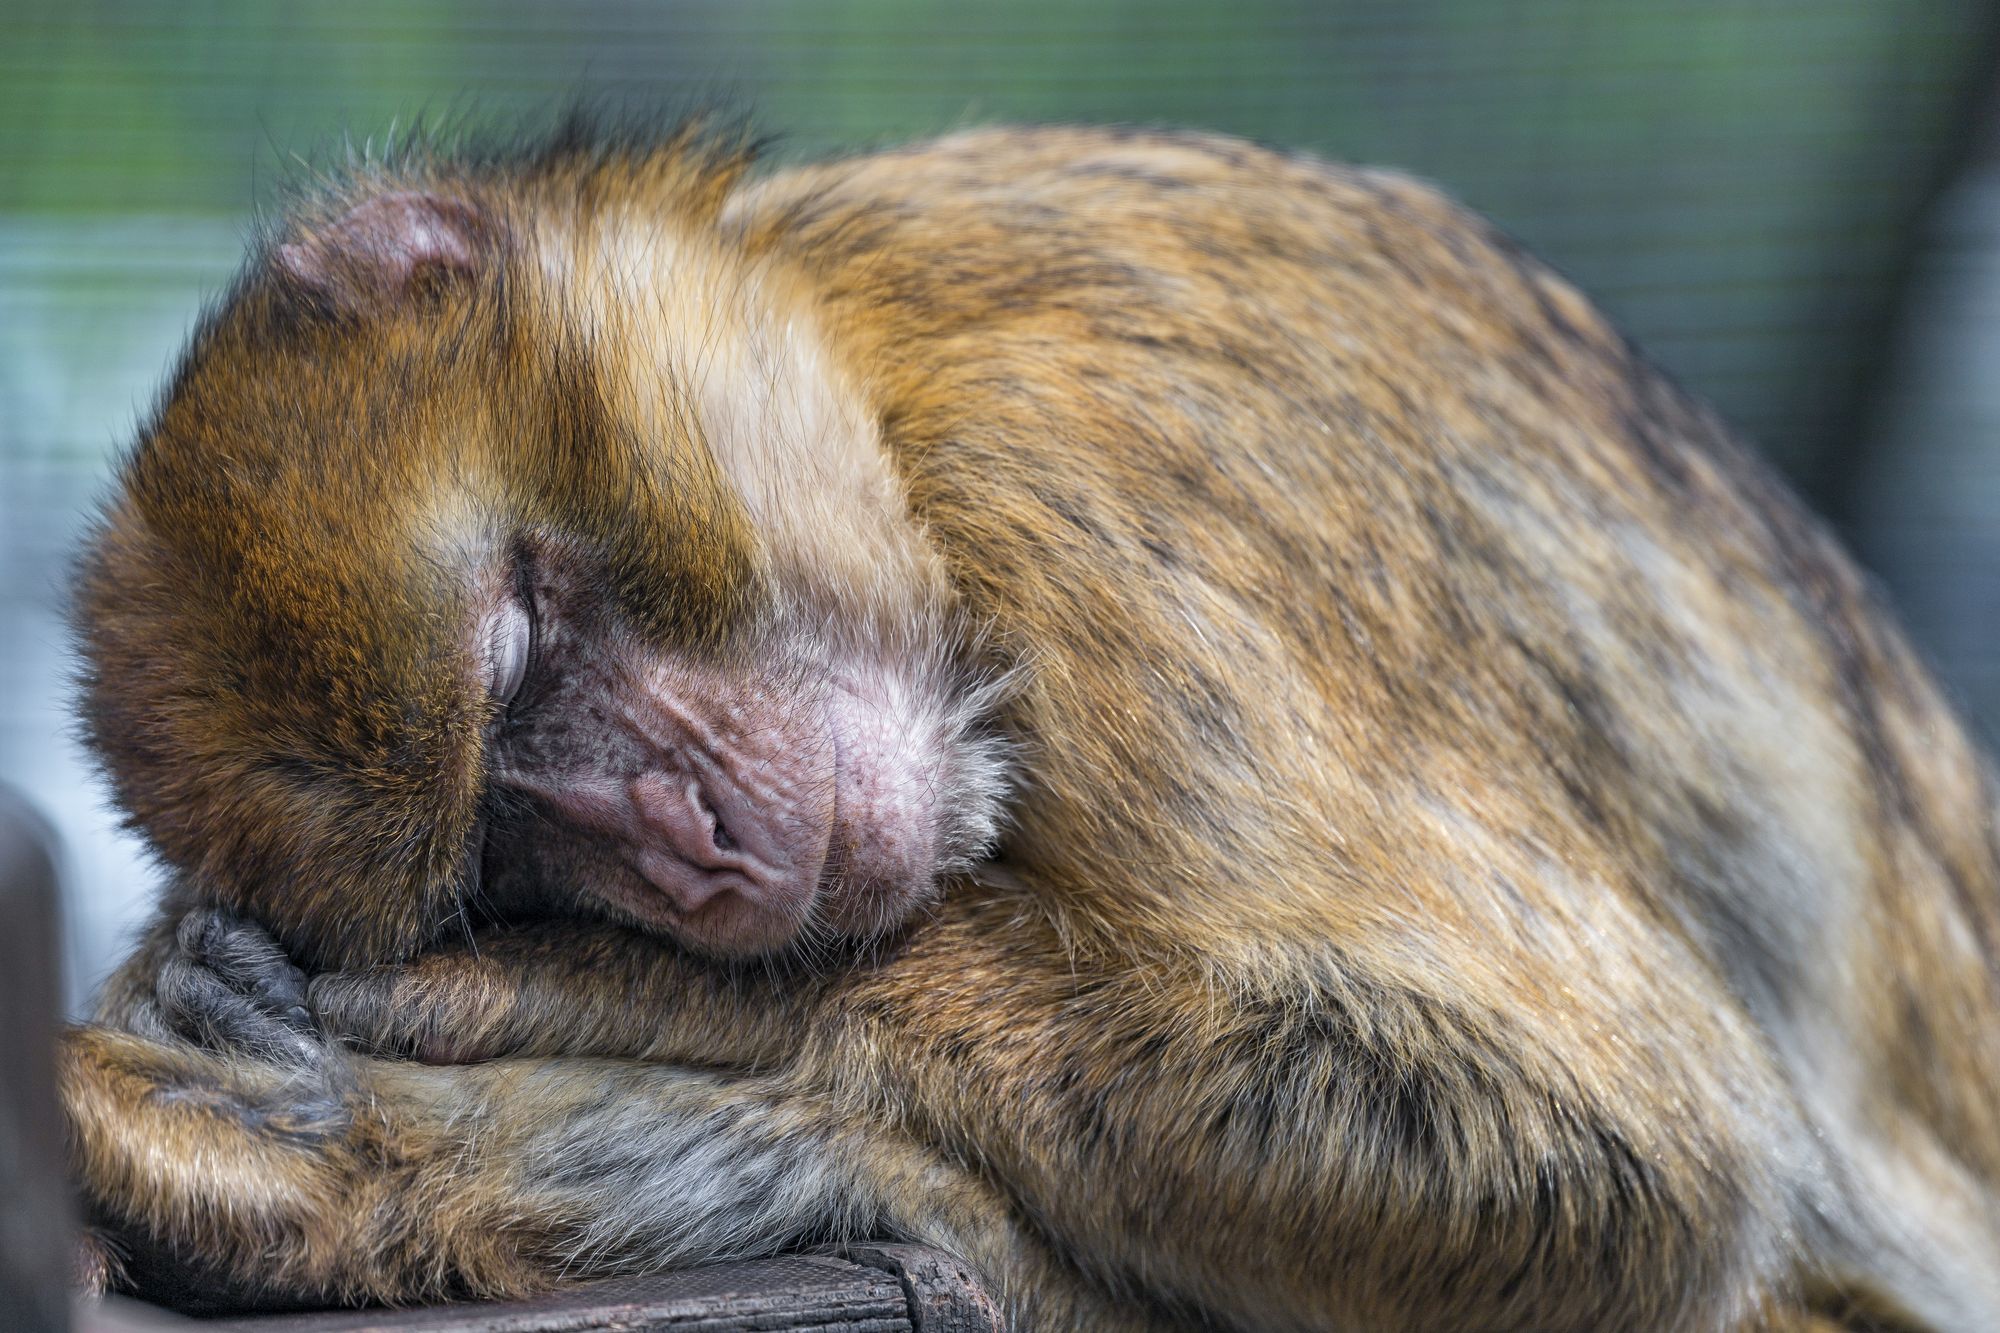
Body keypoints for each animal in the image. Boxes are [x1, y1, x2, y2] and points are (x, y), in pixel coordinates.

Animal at [54, 119, 2000, 1320]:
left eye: (524, 642)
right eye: (499, 836)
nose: (685, 841)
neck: (873, 365)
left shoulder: (1092, 513)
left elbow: (1640, 1168)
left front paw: (621, 997)